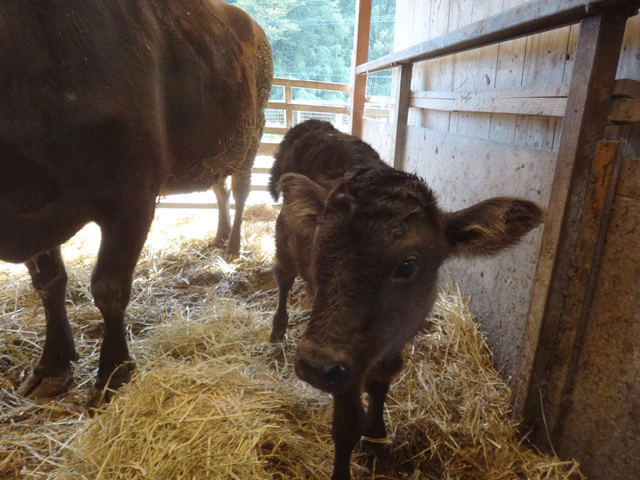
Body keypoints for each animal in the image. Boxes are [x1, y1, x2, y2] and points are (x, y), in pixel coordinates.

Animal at [0, 0, 272, 404]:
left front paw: (113, 373)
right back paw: (219, 238)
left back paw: (234, 245)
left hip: (248, 142)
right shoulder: (36, 212)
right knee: (220, 191)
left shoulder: (134, 196)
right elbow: (49, 284)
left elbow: (108, 287)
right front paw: (52, 364)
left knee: (239, 192)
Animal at [268, 123, 544, 476]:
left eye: (407, 265)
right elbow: (346, 424)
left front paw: (376, 441)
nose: (315, 365)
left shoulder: (392, 342)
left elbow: (379, 386)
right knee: (283, 279)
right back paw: (278, 330)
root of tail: (317, 126)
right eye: (318, 247)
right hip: (283, 243)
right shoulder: (345, 365)